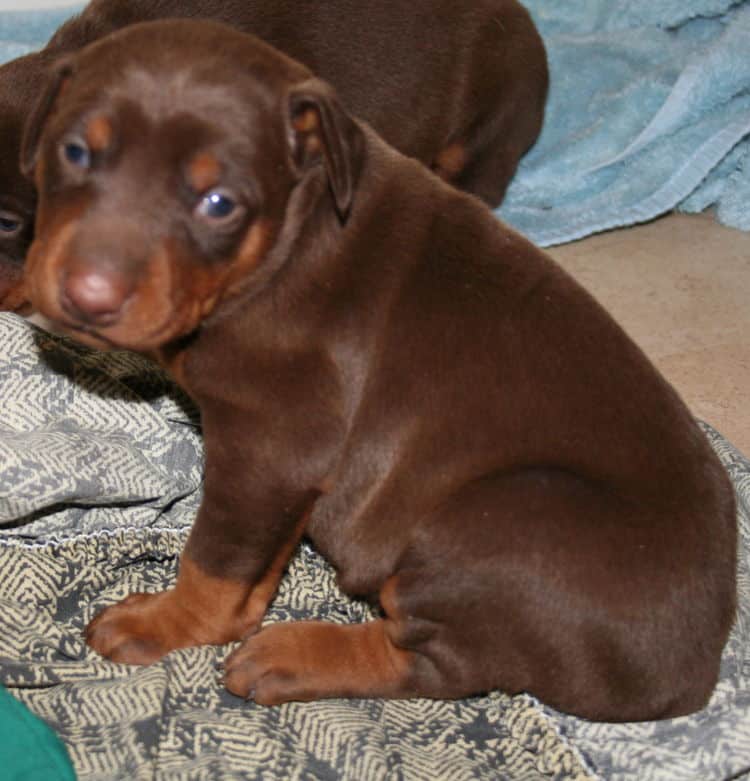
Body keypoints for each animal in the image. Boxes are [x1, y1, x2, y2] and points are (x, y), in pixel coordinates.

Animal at [25, 18, 740, 724]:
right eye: (75, 152)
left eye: (220, 202)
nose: (88, 296)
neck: (290, 240)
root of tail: (691, 675)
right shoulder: (292, 473)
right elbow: (258, 564)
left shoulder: (268, 449)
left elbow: (215, 561)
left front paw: (162, 622)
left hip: (495, 522)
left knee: (439, 666)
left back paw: (290, 656)